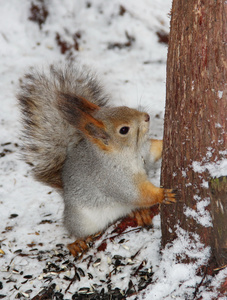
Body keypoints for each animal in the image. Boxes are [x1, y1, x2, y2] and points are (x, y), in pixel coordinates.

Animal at [17, 63, 176, 255]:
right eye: (124, 130)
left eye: (124, 107)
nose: (146, 116)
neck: (129, 152)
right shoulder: (113, 179)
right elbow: (136, 193)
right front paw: (162, 194)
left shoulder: (145, 152)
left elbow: (154, 151)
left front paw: (166, 141)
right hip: (82, 220)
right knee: (74, 230)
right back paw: (77, 242)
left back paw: (139, 213)